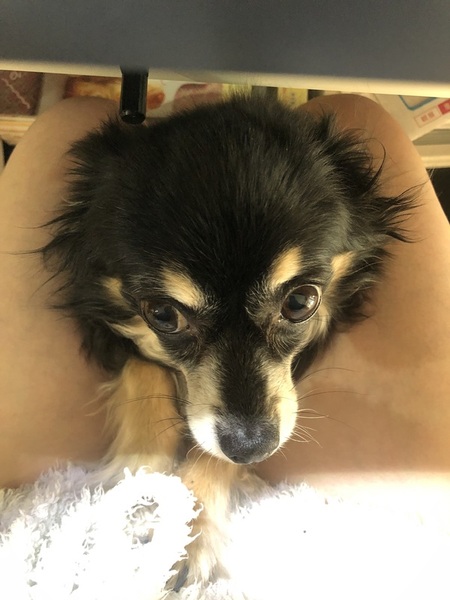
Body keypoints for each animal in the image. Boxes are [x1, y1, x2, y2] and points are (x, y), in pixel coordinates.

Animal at [42, 95, 412, 584]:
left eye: (300, 302)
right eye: (163, 314)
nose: (251, 445)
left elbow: (216, 453)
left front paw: (187, 528)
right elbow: (145, 366)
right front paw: (141, 479)